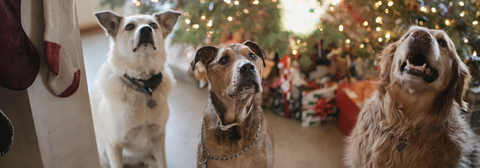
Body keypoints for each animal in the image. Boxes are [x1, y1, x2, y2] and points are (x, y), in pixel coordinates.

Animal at [89, 10, 180, 168]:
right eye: (129, 26)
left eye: (153, 25)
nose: (146, 30)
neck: (143, 85)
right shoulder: (114, 145)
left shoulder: (158, 136)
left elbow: (162, 162)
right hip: (104, 154)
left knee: (145, 157)